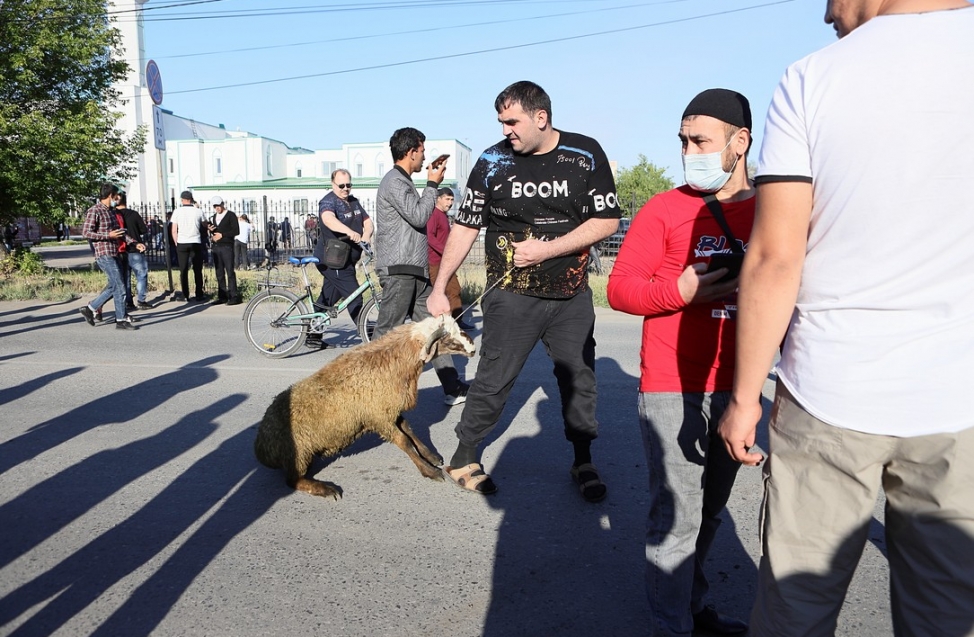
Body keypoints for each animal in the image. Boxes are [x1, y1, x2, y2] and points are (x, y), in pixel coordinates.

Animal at [255, 316, 476, 500]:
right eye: (449, 341)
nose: (473, 349)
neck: (394, 360)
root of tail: (261, 446)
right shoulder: (378, 417)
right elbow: (404, 442)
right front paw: (429, 471)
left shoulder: (388, 411)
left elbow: (409, 429)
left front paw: (431, 456)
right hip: (299, 453)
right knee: (293, 481)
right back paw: (326, 489)